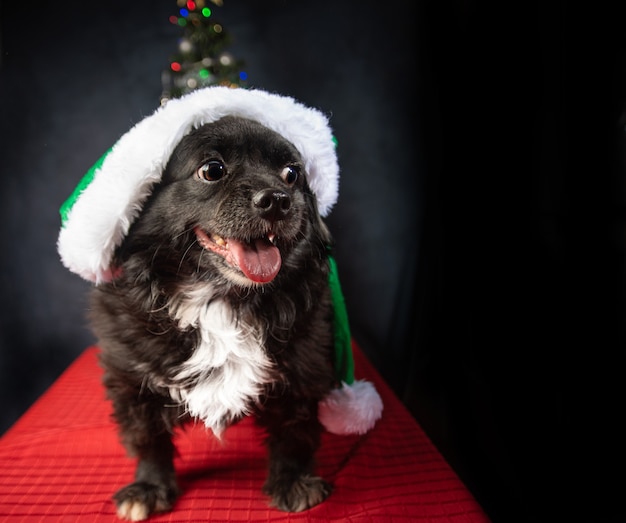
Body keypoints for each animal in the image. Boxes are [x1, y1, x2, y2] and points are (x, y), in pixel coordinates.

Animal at [87, 116, 336, 520]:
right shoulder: (131, 381)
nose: (279, 200)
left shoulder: (304, 370)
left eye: (292, 174)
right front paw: (149, 486)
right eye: (212, 170)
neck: (220, 298)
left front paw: (292, 480)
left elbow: (293, 430)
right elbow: (148, 437)